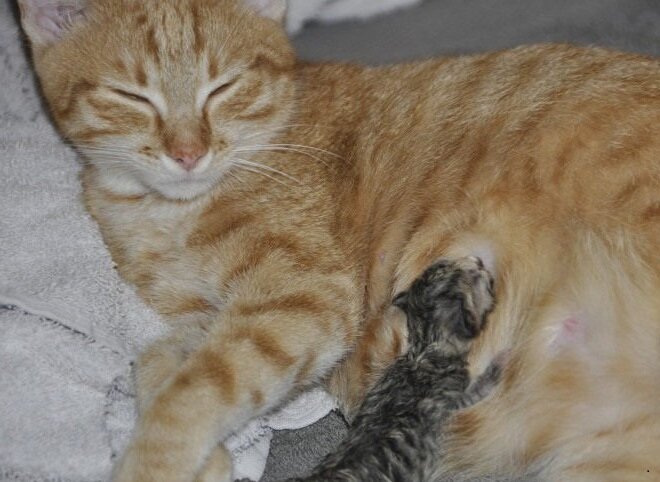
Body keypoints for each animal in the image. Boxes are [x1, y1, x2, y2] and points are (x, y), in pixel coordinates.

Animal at [291, 256, 501, 482]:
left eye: (443, 265)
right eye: (478, 277)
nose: (478, 260)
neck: (424, 347)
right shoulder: (456, 394)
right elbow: (479, 388)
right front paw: (498, 365)